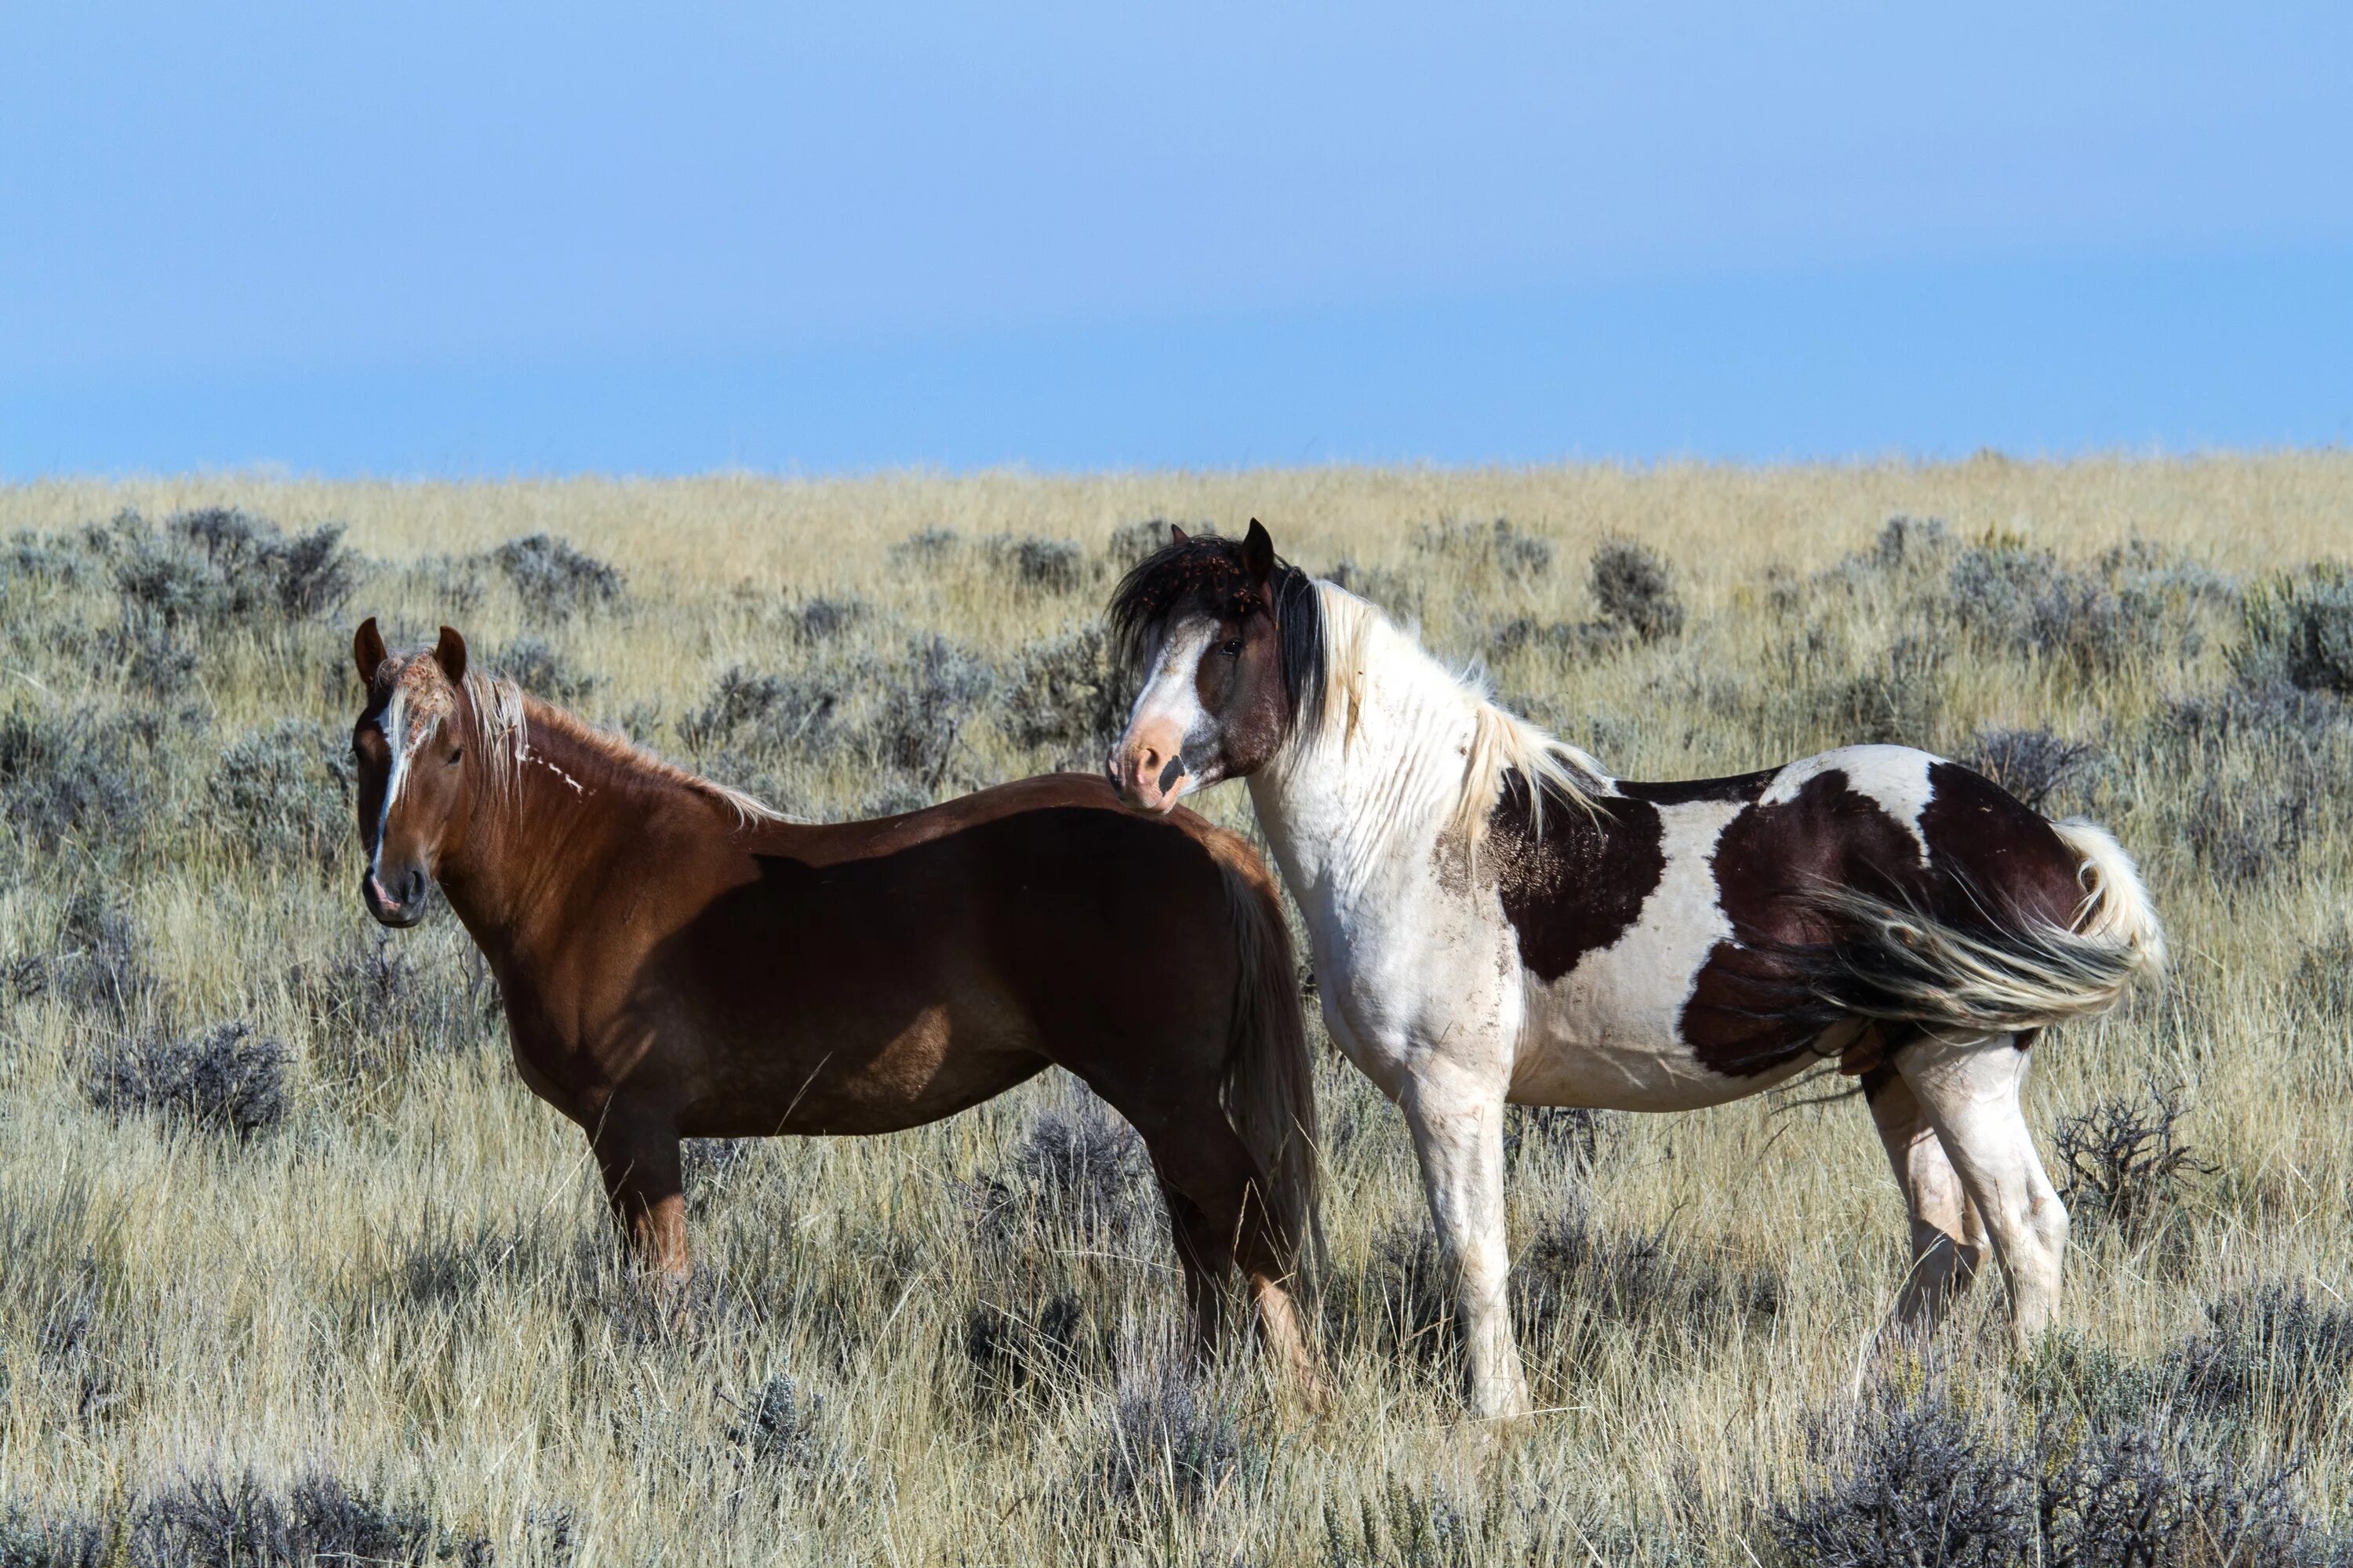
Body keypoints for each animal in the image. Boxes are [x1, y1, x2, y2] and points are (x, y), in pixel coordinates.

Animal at [351, 617, 1337, 1374]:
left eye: (451, 749)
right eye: (363, 750)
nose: (392, 889)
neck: (596, 866)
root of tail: (1209, 842)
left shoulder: (635, 1130)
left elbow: (662, 1287)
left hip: (1173, 1101)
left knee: (1249, 1226)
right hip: (1169, 1105)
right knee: (1205, 1242)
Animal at [1101, 522, 2165, 1412]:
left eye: (1227, 644)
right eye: (1156, 647)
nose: (1135, 765)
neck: (1411, 828)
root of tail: (2045, 840)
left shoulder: (1452, 1090)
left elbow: (1476, 1256)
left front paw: (1499, 1417)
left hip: (1961, 1066)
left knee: (2027, 1229)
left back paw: (2027, 1391)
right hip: (1896, 1071)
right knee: (1945, 1244)